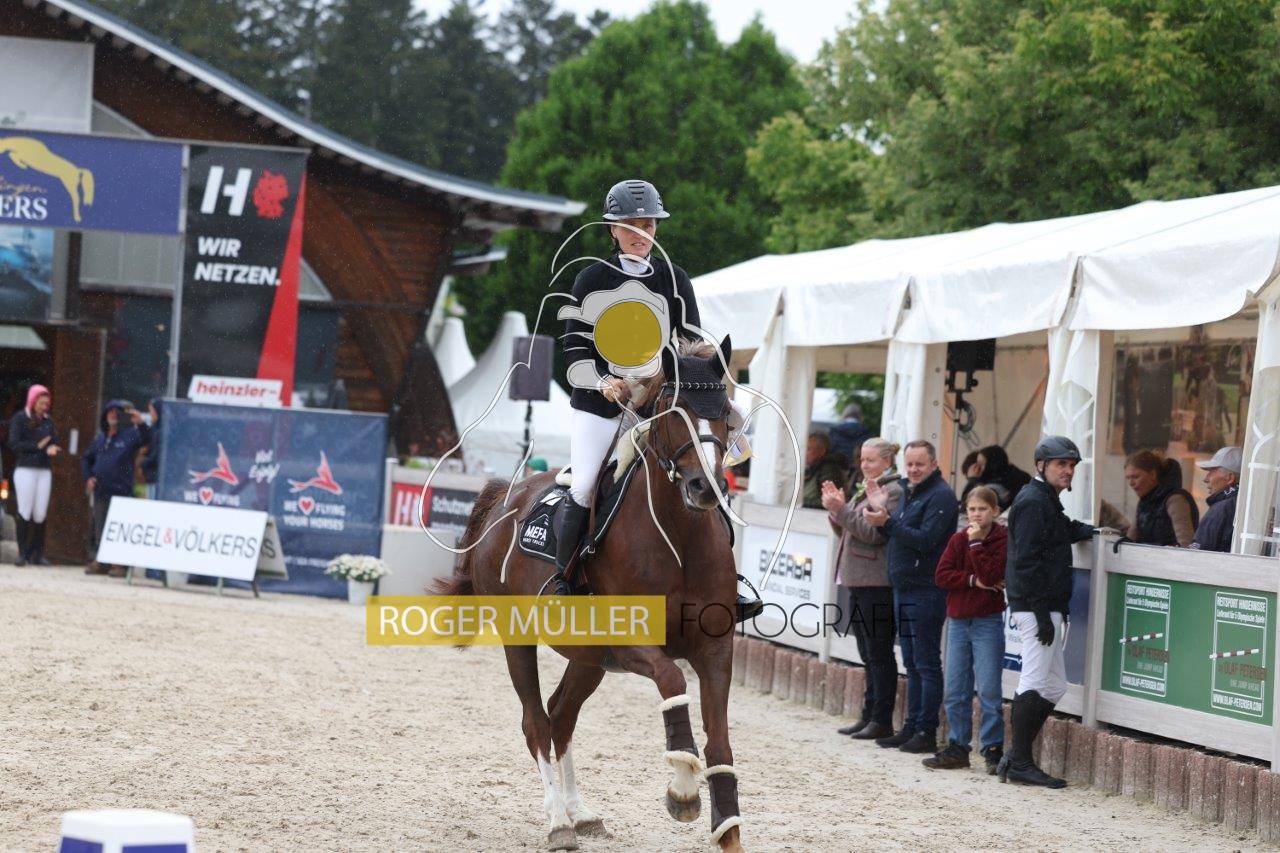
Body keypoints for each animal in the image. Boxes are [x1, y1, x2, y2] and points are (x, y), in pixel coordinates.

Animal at [435, 336, 746, 852]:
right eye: (673, 410)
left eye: (724, 411)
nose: (705, 487)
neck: (679, 540)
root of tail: (505, 497)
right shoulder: (634, 643)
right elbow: (672, 682)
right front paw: (682, 789)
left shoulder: (716, 649)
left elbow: (721, 746)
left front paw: (729, 832)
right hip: (519, 641)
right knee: (536, 722)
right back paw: (559, 821)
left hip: (588, 659)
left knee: (561, 716)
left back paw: (580, 813)